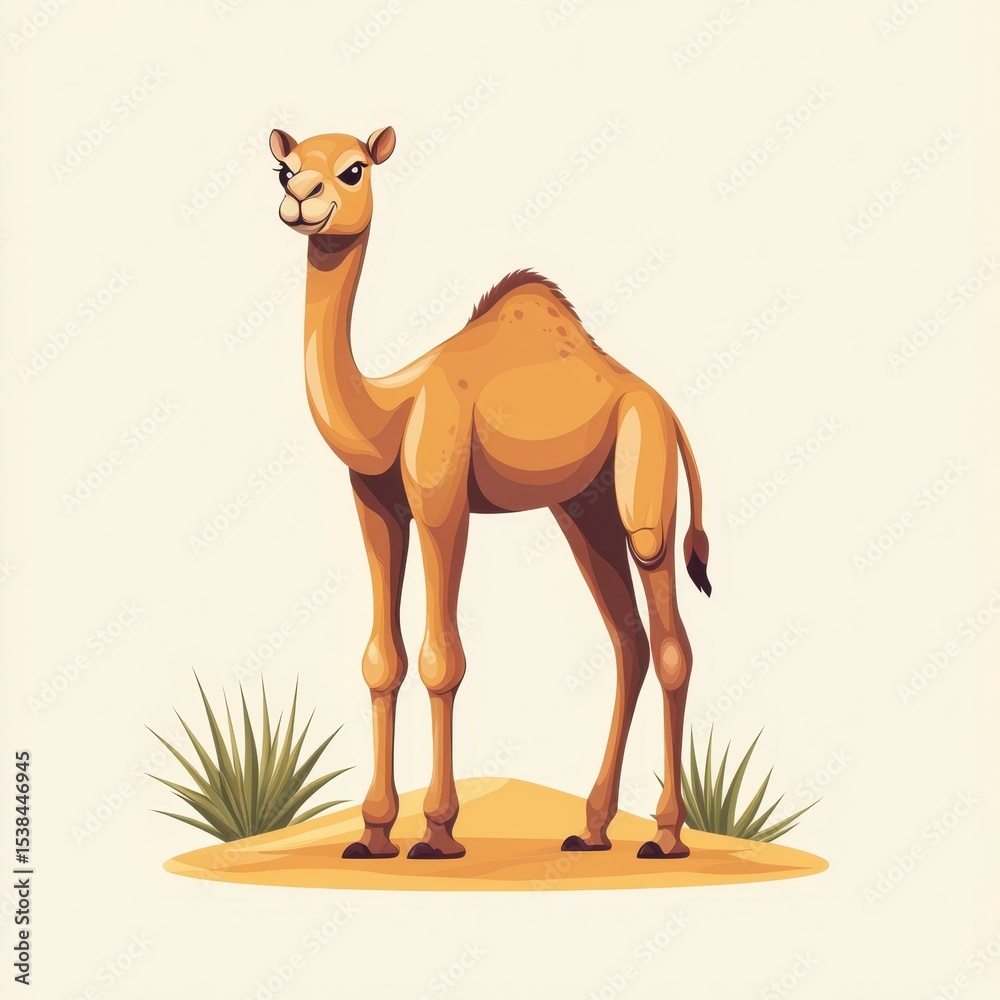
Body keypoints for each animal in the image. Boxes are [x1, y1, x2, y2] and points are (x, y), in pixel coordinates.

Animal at [269, 125, 712, 861]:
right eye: (285, 168)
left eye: (354, 169)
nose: (303, 199)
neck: (388, 410)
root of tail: (668, 410)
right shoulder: (375, 506)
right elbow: (381, 661)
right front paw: (373, 832)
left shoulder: (442, 500)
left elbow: (441, 659)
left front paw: (438, 832)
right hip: (581, 513)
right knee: (629, 642)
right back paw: (591, 828)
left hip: (643, 487)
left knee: (671, 639)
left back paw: (666, 835)